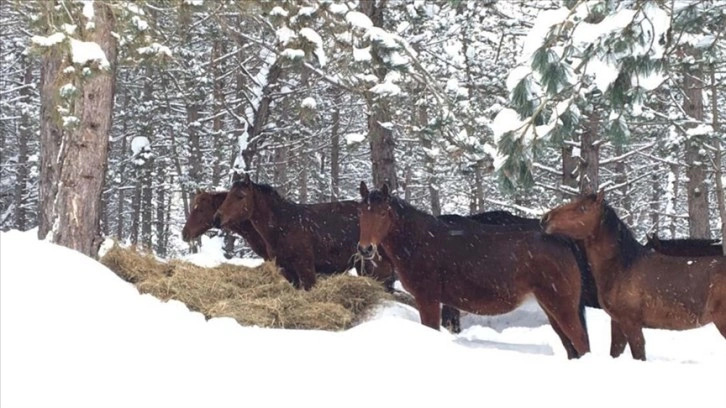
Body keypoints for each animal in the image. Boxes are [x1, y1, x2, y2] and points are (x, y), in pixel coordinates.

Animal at [213, 174, 396, 292]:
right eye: (227, 195)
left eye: (240, 196)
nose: (216, 218)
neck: (282, 225)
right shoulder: (286, 270)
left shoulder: (305, 267)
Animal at [358, 183, 592, 358]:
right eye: (360, 213)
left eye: (382, 213)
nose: (365, 249)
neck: (420, 241)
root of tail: (561, 240)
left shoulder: (428, 300)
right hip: (551, 307)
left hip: (562, 307)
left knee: (581, 343)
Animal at [544, 191, 726, 360]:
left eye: (583, 208)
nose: (546, 219)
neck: (622, 267)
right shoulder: (617, 323)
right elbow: (615, 352)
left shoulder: (631, 324)